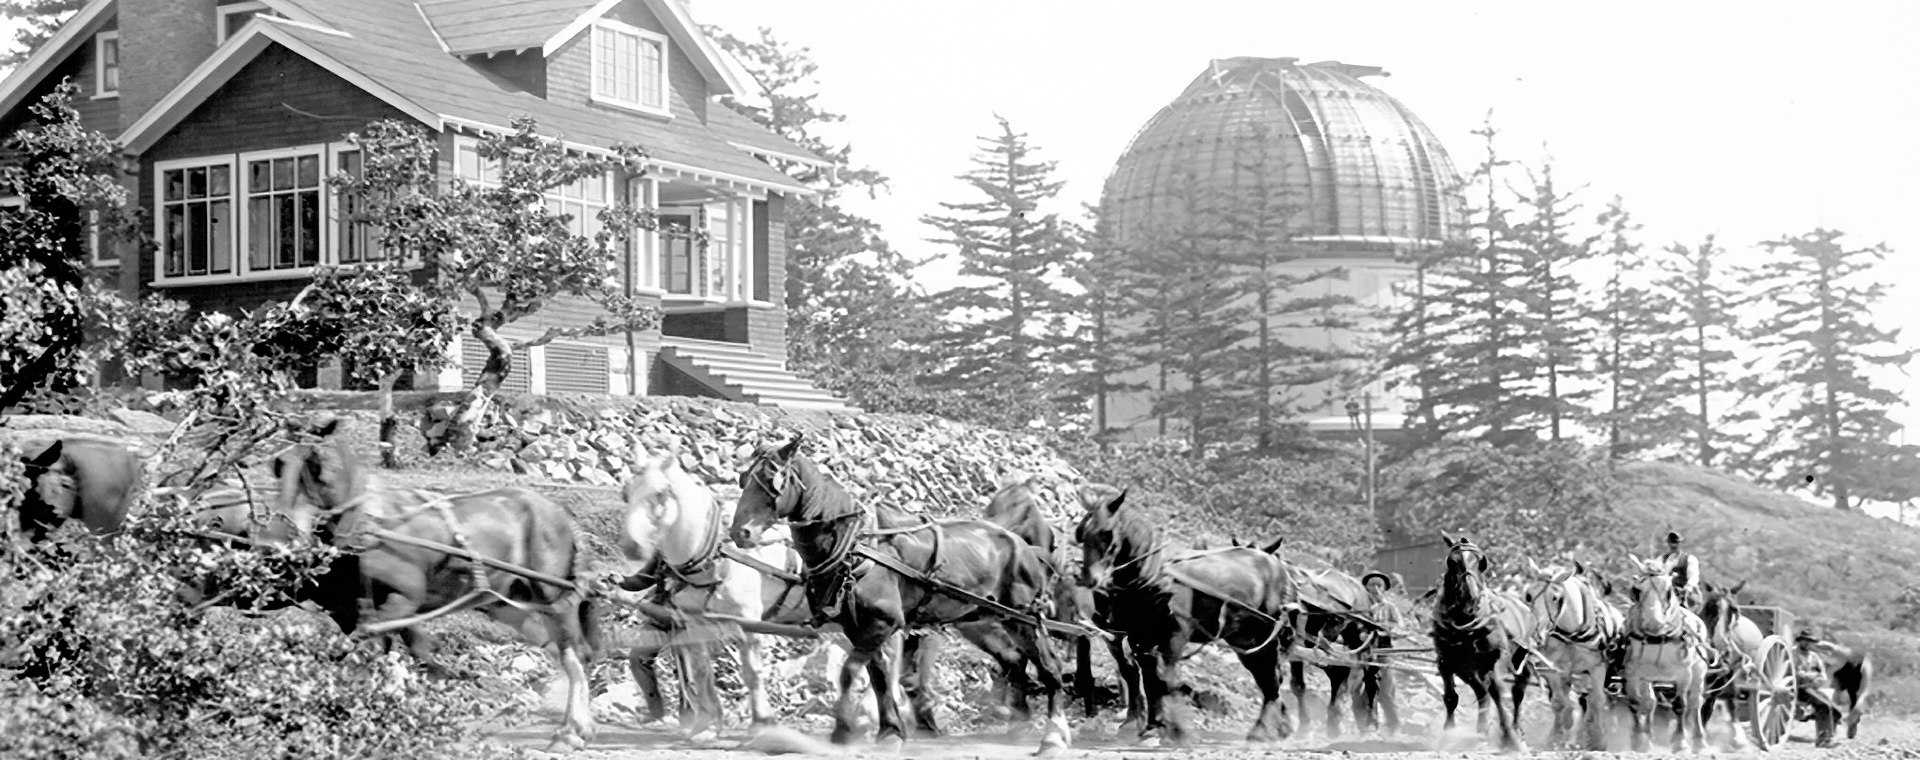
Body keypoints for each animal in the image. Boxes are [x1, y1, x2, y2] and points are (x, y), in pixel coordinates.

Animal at [266, 418, 602, 752]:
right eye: (278, 464)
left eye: (315, 464)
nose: (282, 532)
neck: (368, 524)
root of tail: (559, 516)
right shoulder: (356, 611)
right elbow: (392, 652)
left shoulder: (403, 600)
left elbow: (380, 649)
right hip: (509, 603)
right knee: (557, 650)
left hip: (552, 597)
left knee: (574, 656)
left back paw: (571, 730)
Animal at [725, 435, 1075, 752]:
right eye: (744, 480)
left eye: (772, 482)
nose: (741, 533)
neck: (854, 548)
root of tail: (1024, 545)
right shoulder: (858, 627)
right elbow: (878, 676)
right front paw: (890, 730)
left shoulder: (884, 622)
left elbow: (850, 672)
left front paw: (844, 729)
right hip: (983, 618)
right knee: (1015, 662)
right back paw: (1019, 722)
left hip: (1023, 618)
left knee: (1049, 669)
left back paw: (1053, 736)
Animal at [1075, 483, 1297, 744]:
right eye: (1081, 533)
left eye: (1106, 533)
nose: (1090, 580)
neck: (1153, 577)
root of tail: (1276, 565)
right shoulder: (1141, 637)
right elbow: (1149, 681)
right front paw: (1153, 726)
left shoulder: (1174, 635)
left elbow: (1165, 680)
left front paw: (1178, 730)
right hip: (1245, 641)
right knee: (1266, 677)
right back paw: (1276, 727)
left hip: (1266, 636)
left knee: (1271, 678)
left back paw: (1262, 730)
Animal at [1436, 533, 1536, 752]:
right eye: (1452, 562)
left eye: (1481, 562)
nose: (1469, 595)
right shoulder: (1446, 662)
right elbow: (1451, 697)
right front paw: (1448, 733)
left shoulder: (1493, 660)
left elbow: (1497, 692)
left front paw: (1508, 736)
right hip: (1469, 670)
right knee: (1482, 692)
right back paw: (1482, 729)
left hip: (1519, 662)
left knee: (1516, 691)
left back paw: (1516, 730)